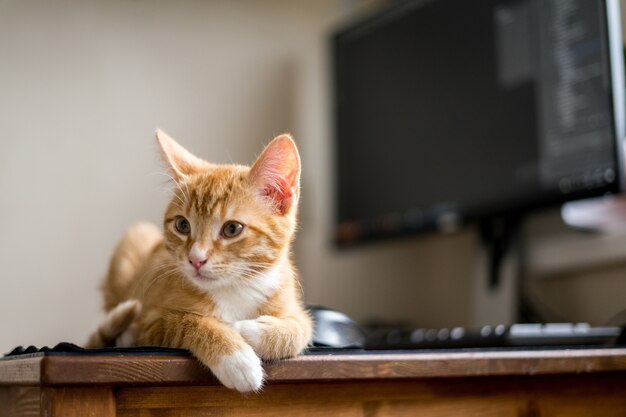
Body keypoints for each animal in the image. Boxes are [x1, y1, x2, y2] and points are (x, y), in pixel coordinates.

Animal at [86, 129, 312, 390]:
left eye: (232, 229)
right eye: (182, 225)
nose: (196, 259)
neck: (235, 288)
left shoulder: (294, 308)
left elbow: (299, 330)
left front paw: (246, 329)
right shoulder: (147, 322)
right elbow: (188, 322)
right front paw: (235, 357)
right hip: (136, 236)